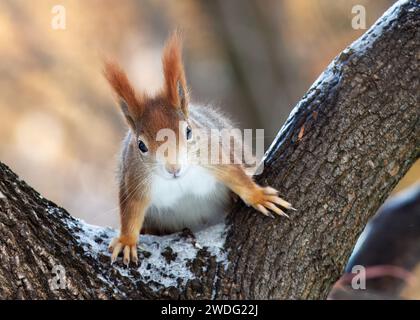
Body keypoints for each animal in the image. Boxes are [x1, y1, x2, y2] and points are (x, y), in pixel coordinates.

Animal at [103, 32, 294, 264]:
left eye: (188, 131)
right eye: (141, 145)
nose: (174, 169)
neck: (179, 182)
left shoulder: (213, 155)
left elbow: (235, 175)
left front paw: (258, 196)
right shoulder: (135, 179)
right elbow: (130, 210)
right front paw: (126, 241)